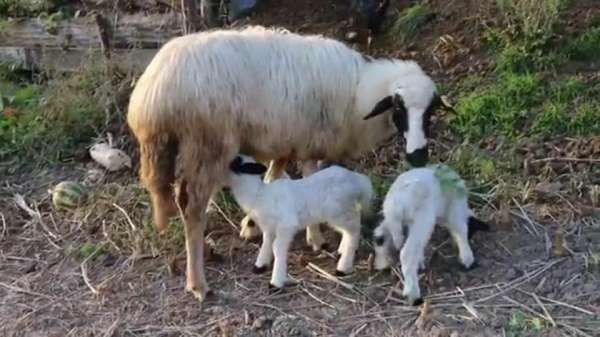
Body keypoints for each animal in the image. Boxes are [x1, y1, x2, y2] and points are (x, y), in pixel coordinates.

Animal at [227, 154, 372, 286]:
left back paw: (343, 267)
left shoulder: (286, 225)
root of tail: (357, 180)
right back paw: (342, 250)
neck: (259, 194)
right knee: (351, 226)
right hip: (342, 211)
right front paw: (259, 266)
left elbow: (277, 248)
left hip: (339, 212)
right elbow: (266, 243)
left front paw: (276, 282)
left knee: (354, 228)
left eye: (236, 161)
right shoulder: (269, 228)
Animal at [370, 165, 492, 304]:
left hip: (396, 220)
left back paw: (382, 262)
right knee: (407, 253)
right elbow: (461, 230)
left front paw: (420, 262)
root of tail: (397, 203)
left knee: (381, 234)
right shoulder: (455, 210)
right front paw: (467, 259)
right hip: (423, 218)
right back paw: (413, 294)